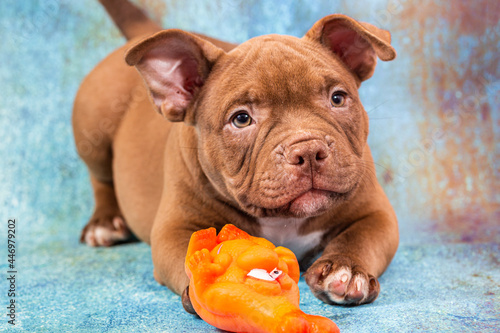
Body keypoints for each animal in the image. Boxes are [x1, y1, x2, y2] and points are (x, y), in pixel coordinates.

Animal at [74, 0, 398, 306]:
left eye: (338, 98)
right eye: (241, 119)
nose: (308, 149)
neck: (282, 219)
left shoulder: (377, 213)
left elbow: (361, 236)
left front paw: (346, 270)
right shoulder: (174, 229)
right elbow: (190, 253)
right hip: (92, 129)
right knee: (99, 178)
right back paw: (104, 223)